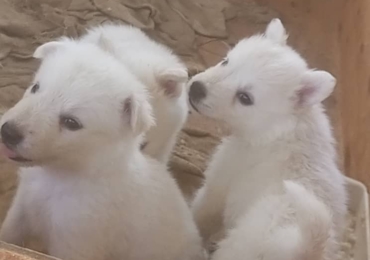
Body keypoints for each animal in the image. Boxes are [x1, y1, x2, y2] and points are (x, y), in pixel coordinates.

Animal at [188, 18, 346, 260]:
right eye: (226, 61)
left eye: (245, 98)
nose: (195, 89)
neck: (279, 128)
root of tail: (300, 249)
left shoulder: (218, 185)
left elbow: (201, 216)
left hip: (236, 247)